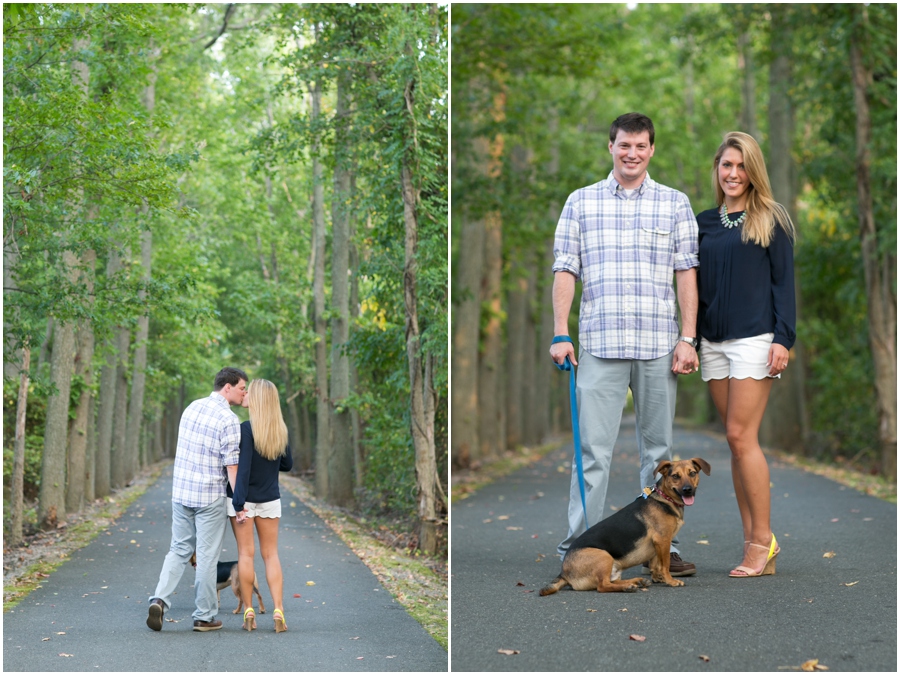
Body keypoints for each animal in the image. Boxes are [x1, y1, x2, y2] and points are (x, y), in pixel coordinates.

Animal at [540, 460, 712, 596]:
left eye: (692, 473)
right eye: (675, 476)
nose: (688, 490)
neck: (665, 498)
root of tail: (564, 573)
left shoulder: (658, 543)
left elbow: (656, 563)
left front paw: (658, 577)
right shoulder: (663, 539)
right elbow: (665, 564)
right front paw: (670, 580)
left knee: (611, 582)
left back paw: (636, 582)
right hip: (603, 556)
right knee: (602, 586)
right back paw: (629, 586)